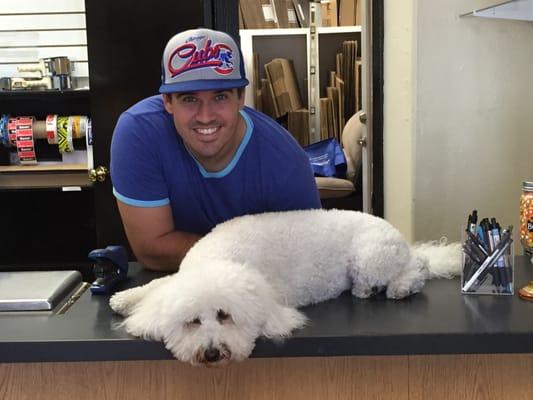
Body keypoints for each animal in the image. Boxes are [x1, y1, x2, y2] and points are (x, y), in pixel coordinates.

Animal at [109, 211, 462, 368]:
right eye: (193, 321)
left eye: (224, 316)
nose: (212, 352)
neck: (218, 256)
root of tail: (398, 237)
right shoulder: (176, 280)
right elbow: (157, 285)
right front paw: (124, 298)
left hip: (370, 259)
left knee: (418, 268)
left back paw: (398, 286)